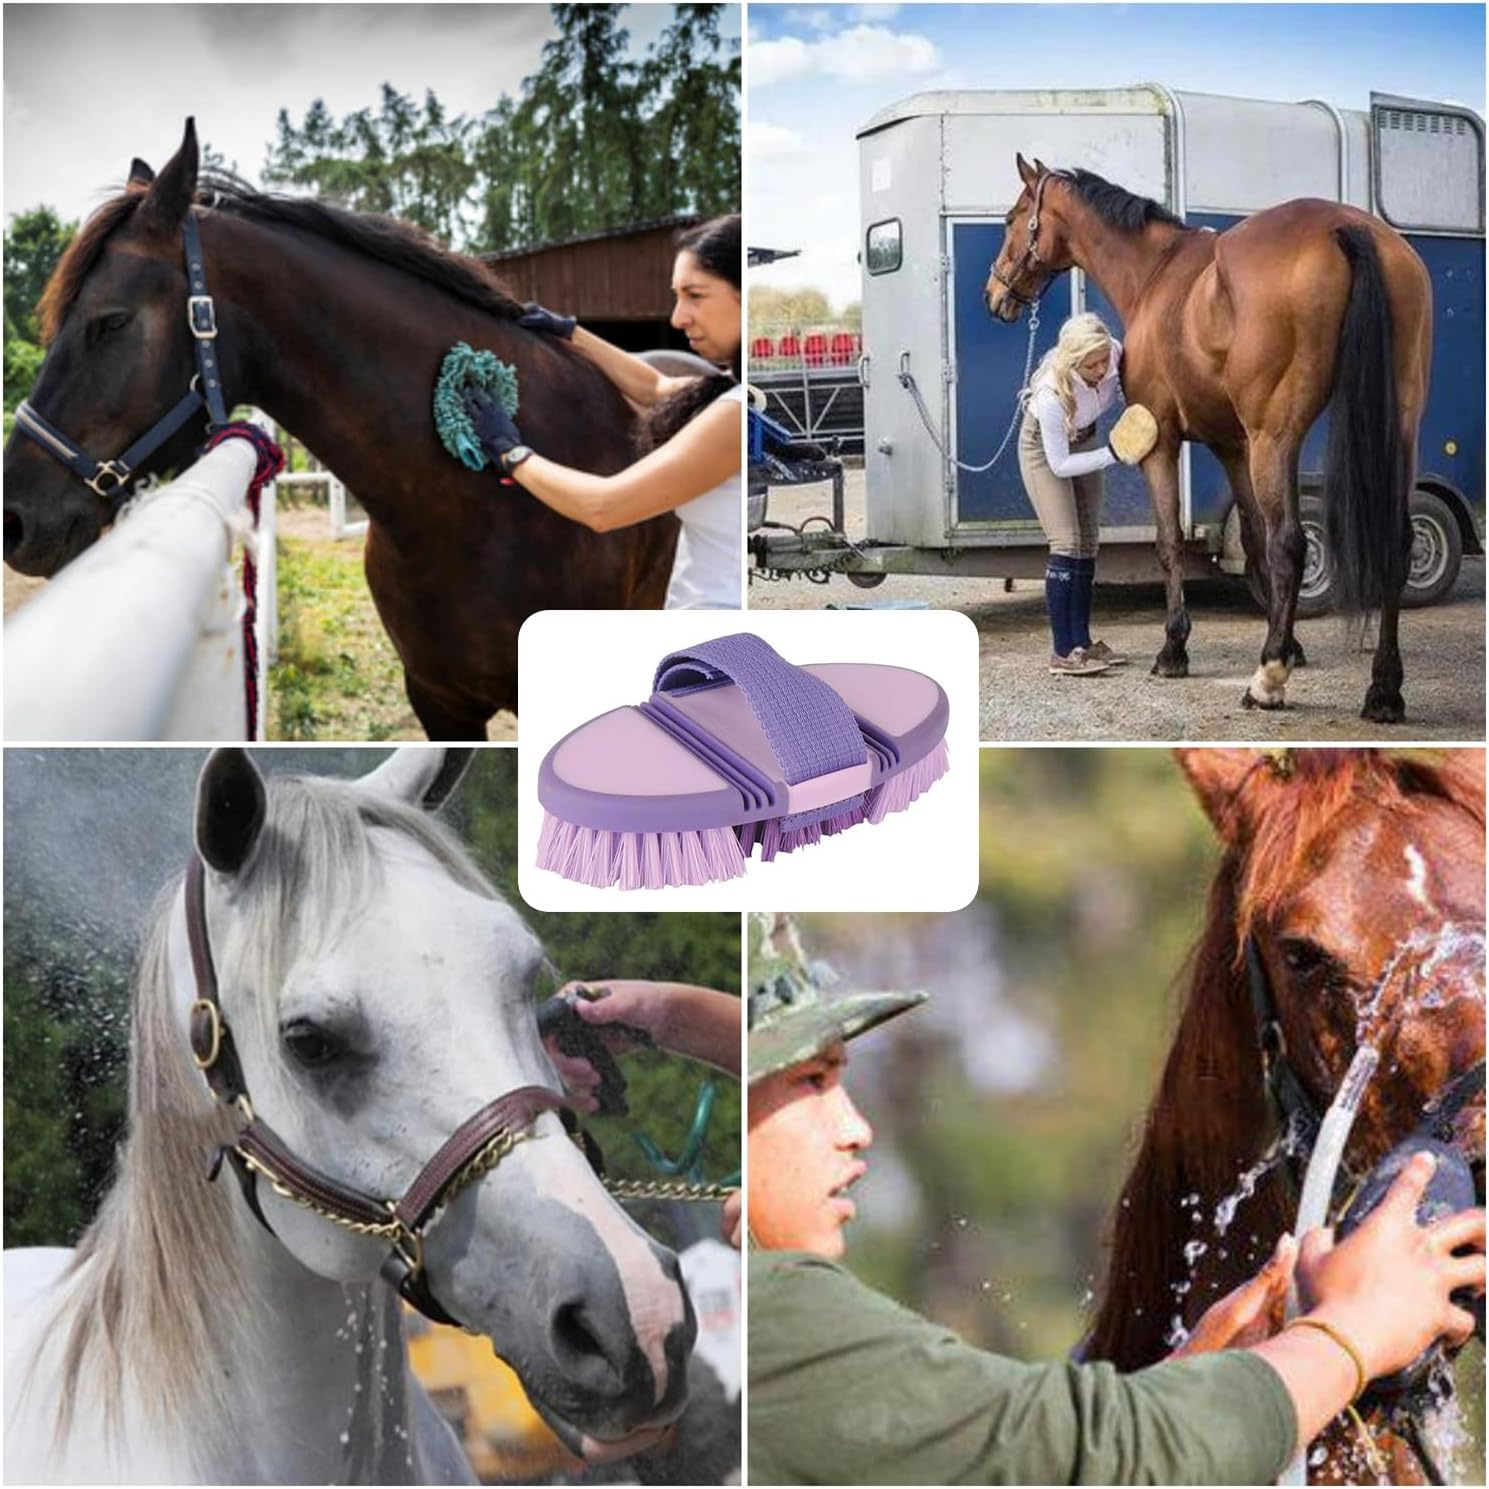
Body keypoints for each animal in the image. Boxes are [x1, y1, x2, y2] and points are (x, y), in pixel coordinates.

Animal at [985, 156, 1433, 723]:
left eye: (1011, 219)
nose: (994, 295)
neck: (1156, 274)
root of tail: (1346, 228)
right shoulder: (1232, 446)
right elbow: (1253, 541)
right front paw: (1291, 644)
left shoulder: (1162, 442)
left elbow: (1172, 542)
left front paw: (1175, 649)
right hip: (1397, 430)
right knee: (1393, 541)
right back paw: (1383, 691)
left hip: (1276, 437)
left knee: (1292, 544)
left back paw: (1267, 682)